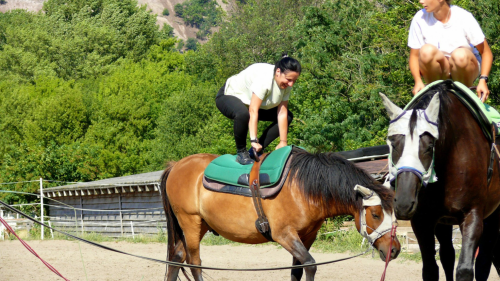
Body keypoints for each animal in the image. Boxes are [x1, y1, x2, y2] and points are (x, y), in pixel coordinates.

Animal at [160, 148, 402, 278]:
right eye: (376, 214)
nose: (394, 249)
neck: (301, 188)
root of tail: (176, 165)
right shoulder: (284, 234)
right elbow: (310, 265)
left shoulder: (307, 236)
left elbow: (297, 270)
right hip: (190, 223)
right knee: (194, 263)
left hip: (199, 226)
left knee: (177, 258)